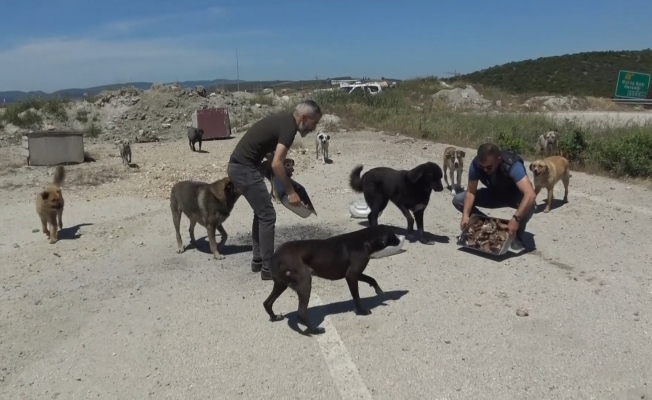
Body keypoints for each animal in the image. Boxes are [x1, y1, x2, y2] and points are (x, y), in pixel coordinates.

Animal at [262, 225, 400, 334]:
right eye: (392, 234)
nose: (399, 240)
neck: (364, 239)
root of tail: (276, 255)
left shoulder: (356, 273)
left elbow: (372, 279)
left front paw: (379, 290)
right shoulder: (351, 275)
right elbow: (356, 297)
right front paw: (363, 311)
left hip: (281, 284)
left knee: (267, 303)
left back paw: (274, 317)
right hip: (304, 283)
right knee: (301, 313)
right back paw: (315, 330)